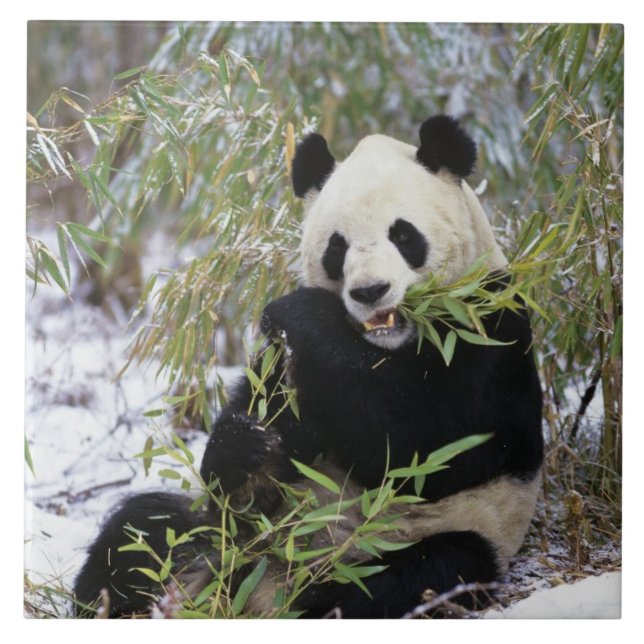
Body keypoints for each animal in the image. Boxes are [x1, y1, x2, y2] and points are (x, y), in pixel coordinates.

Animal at [73, 115, 544, 619]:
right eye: (338, 247)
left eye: (403, 236)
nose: (370, 291)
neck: (383, 345)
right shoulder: (287, 364)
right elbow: (266, 436)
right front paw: (245, 445)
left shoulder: (487, 330)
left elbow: (430, 448)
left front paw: (304, 313)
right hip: (216, 537)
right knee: (141, 531)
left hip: (445, 532)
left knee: (410, 578)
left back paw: (311, 599)